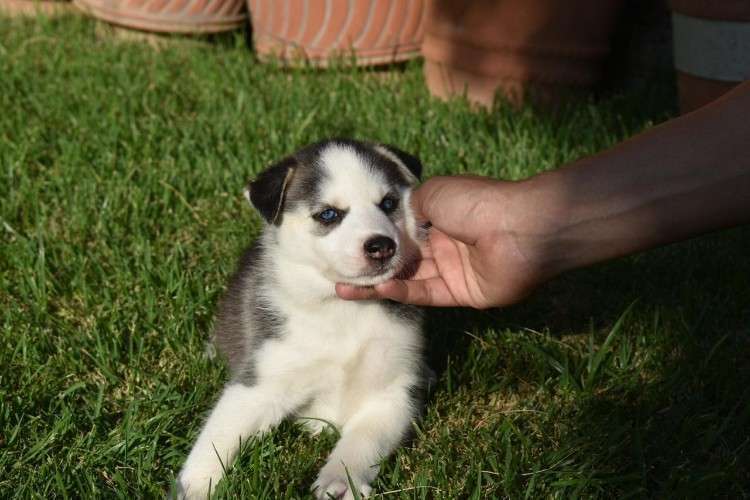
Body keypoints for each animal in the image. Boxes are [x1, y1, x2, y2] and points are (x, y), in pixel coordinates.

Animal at [176, 139, 428, 499]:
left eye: (389, 203)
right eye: (329, 214)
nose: (381, 245)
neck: (344, 310)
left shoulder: (393, 392)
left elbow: (364, 440)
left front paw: (341, 479)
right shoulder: (261, 381)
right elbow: (219, 435)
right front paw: (196, 485)